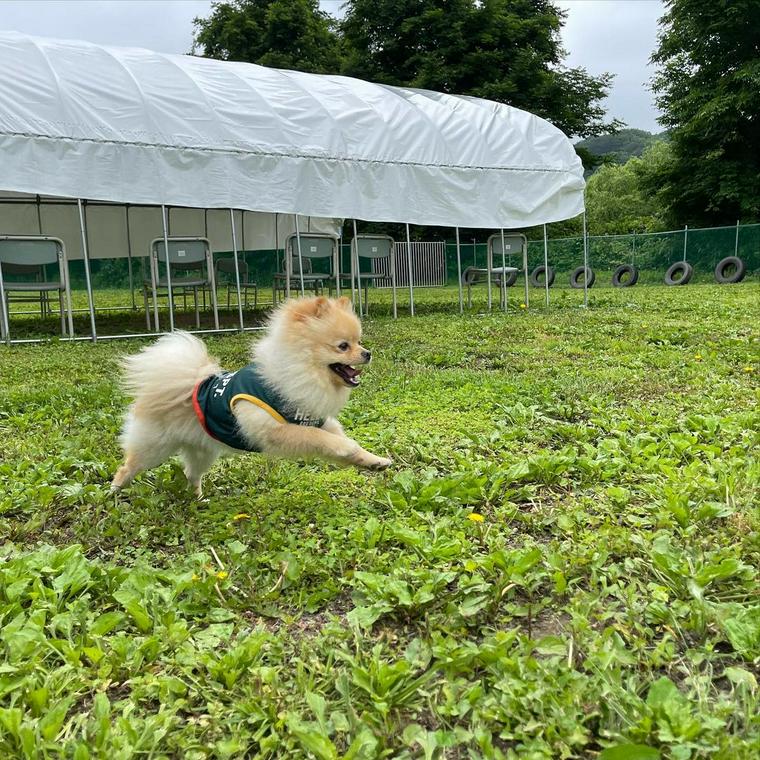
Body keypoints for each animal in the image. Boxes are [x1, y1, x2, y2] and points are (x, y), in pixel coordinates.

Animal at [111, 294, 392, 496]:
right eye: (343, 346)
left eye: (359, 341)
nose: (367, 353)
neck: (301, 370)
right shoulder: (279, 431)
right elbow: (323, 439)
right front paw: (347, 448)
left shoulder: (317, 419)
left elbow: (342, 441)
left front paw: (373, 461)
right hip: (154, 447)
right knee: (128, 465)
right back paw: (114, 491)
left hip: (202, 450)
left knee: (192, 474)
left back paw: (198, 498)